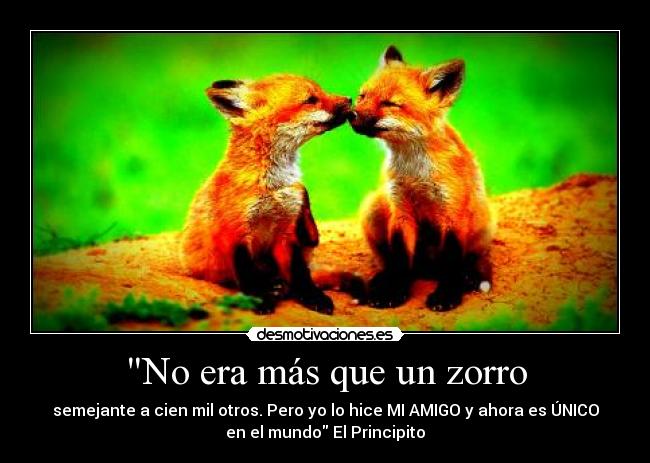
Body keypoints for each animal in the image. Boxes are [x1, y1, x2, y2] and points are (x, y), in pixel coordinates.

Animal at [181, 74, 358, 314]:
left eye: (320, 91)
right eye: (311, 99)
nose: (350, 99)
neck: (273, 186)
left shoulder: (287, 231)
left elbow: (300, 274)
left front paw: (312, 297)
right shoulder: (234, 234)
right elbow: (247, 275)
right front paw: (259, 299)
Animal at [350, 46, 494, 311]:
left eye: (390, 103)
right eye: (362, 96)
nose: (350, 114)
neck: (415, 172)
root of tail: (428, 268)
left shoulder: (453, 214)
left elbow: (451, 264)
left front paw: (447, 296)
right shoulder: (399, 208)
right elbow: (399, 261)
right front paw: (394, 291)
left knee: (470, 260)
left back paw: (470, 276)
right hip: (373, 207)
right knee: (392, 263)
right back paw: (382, 279)